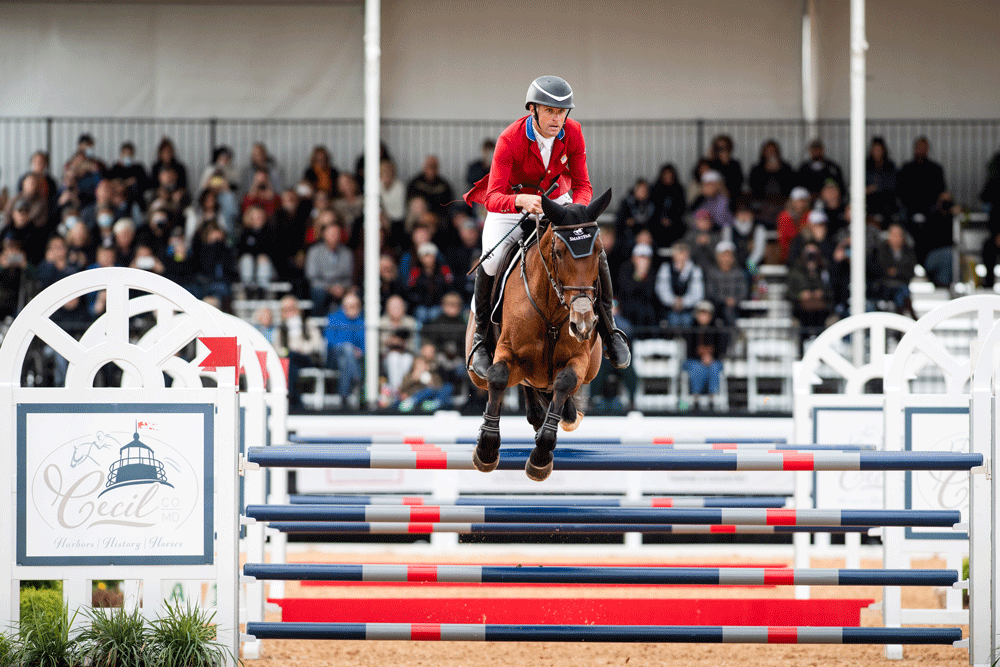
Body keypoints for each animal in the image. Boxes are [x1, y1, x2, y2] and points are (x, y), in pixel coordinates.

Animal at [464, 188, 612, 480]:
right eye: (558, 252)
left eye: (599, 252)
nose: (582, 323)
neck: (552, 309)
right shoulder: (508, 350)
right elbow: (498, 377)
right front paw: (486, 449)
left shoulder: (579, 359)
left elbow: (565, 382)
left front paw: (541, 457)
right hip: (485, 374)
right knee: (518, 386)